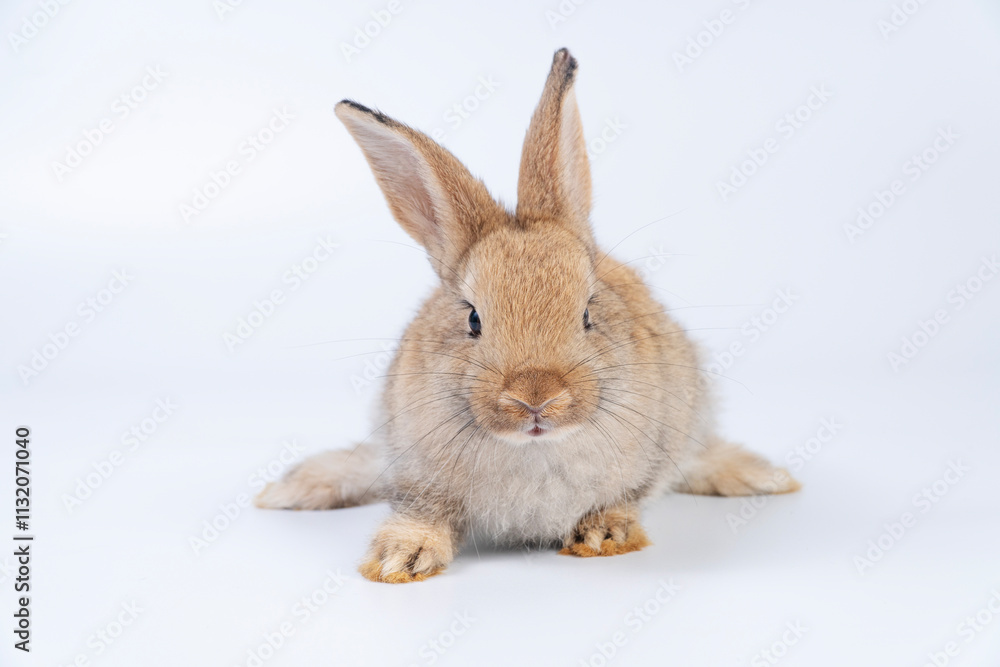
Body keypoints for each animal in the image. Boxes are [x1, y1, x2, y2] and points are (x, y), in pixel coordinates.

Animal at [255, 48, 800, 583]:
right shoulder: (416, 471)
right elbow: (423, 513)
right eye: (473, 319)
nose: (536, 397)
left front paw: (603, 536)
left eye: (588, 312)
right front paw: (399, 559)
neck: (533, 448)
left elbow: (627, 498)